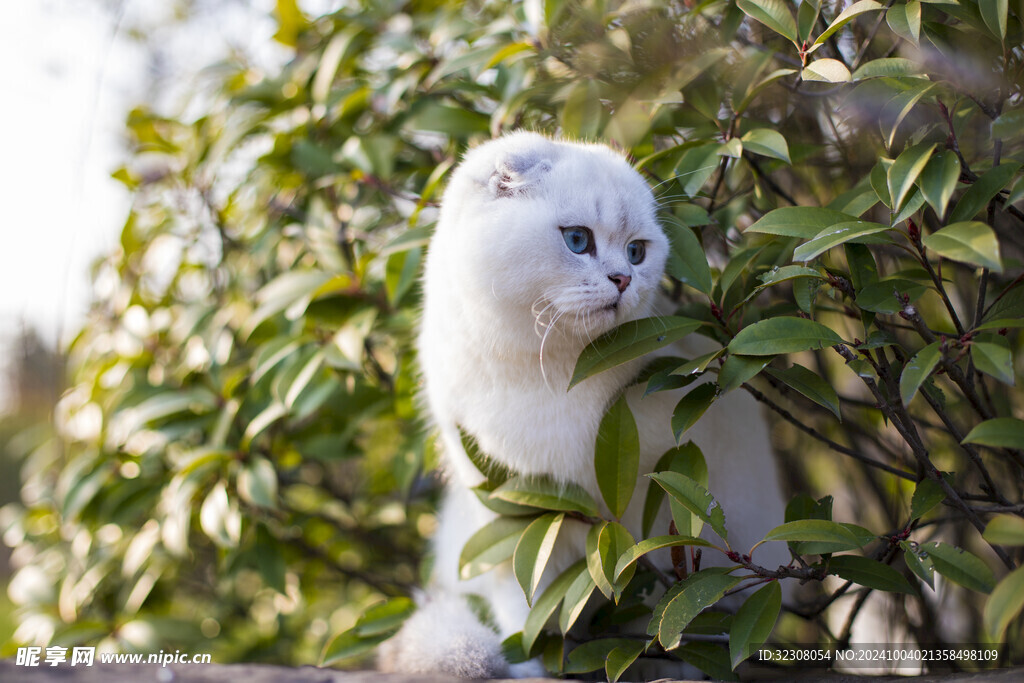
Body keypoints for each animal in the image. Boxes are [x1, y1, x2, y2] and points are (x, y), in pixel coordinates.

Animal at [380, 133, 786, 679]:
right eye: (577, 241)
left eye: (637, 252)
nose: (623, 279)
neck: (549, 373)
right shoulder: (519, 523)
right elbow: (528, 616)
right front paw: (531, 668)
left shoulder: (662, 507)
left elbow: (674, 603)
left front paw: (669, 660)